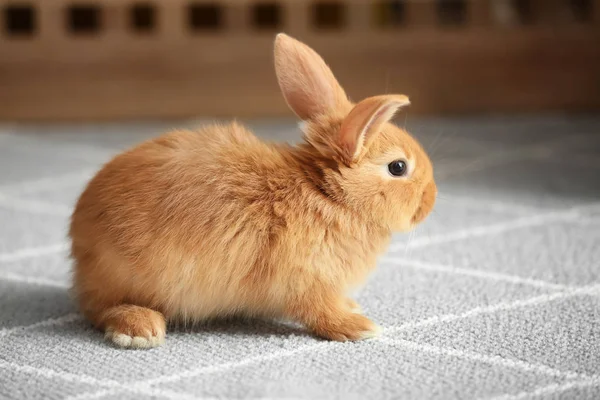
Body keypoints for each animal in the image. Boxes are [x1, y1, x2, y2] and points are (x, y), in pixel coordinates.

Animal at [69, 32, 436, 348]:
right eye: (398, 167)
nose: (431, 201)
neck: (327, 194)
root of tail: (80, 242)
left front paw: (352, 307)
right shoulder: (307, 279)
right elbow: (318, 311)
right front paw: (357, 327)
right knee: (100, 311)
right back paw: (139, 329)